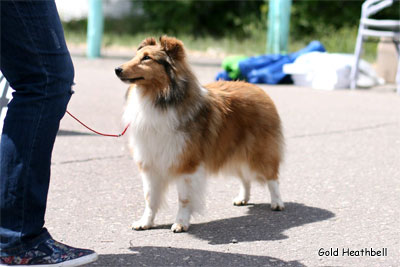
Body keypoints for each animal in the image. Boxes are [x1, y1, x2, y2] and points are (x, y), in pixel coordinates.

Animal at [115, 36, 284, 233]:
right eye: (135, 56)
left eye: (147, 58)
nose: (117, 69)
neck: (159, 99)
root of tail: (257, 88)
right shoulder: (150, 162)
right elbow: (150, 198)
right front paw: (145, 222)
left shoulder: (186, 164)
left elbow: (184, 198)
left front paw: (180, 223)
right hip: (233, 152)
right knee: (245, 177)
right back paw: (242, 198)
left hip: (259, 151)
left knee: (272, 177)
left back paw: (277, 203)